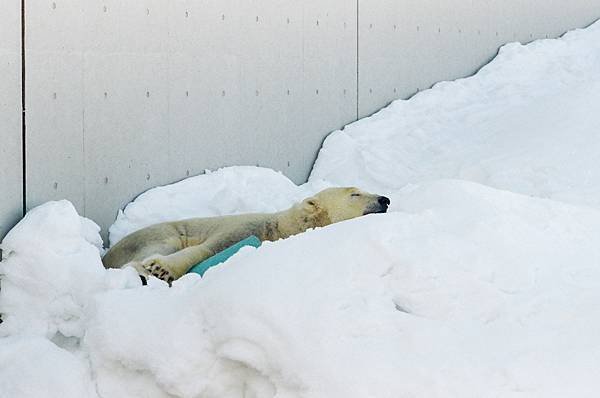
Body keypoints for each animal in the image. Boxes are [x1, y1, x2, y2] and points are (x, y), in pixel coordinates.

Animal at [103, 187, 392, 282]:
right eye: (355, 193)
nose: (385, 199)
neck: (283, 228)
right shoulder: (250, 226)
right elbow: (212, 246)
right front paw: (161, 268)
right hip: (152, 235)